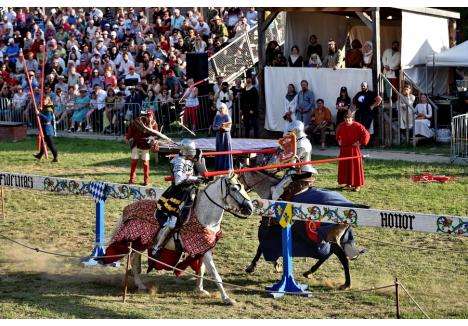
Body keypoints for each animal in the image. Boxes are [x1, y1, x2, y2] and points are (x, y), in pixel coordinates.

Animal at [104, 174, 254, 304]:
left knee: (135, 261)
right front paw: (227, 299)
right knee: (135, 262)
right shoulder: (204, 251)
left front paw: (200, 290)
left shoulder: (203, 249)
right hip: (138, 242)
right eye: (234, 189)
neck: (204, 217)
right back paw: (141, 286)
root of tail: (127, 209)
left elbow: (202, 270)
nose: (250, 208)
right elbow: (215, 274)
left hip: (141, 244)